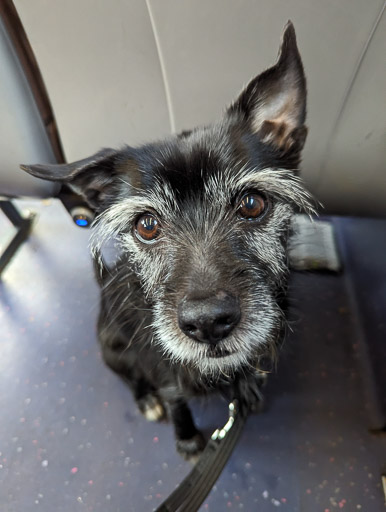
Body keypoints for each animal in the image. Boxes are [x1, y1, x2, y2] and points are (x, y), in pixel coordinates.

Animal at [21, 21, 314, 460]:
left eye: (252, 203)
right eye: (146, 225)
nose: (208, 323)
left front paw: (248, 390)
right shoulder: (161, 368)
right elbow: (175, 398)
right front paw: (188, 439)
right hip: (111, 347)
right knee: (130, 378)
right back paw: (145, 399)